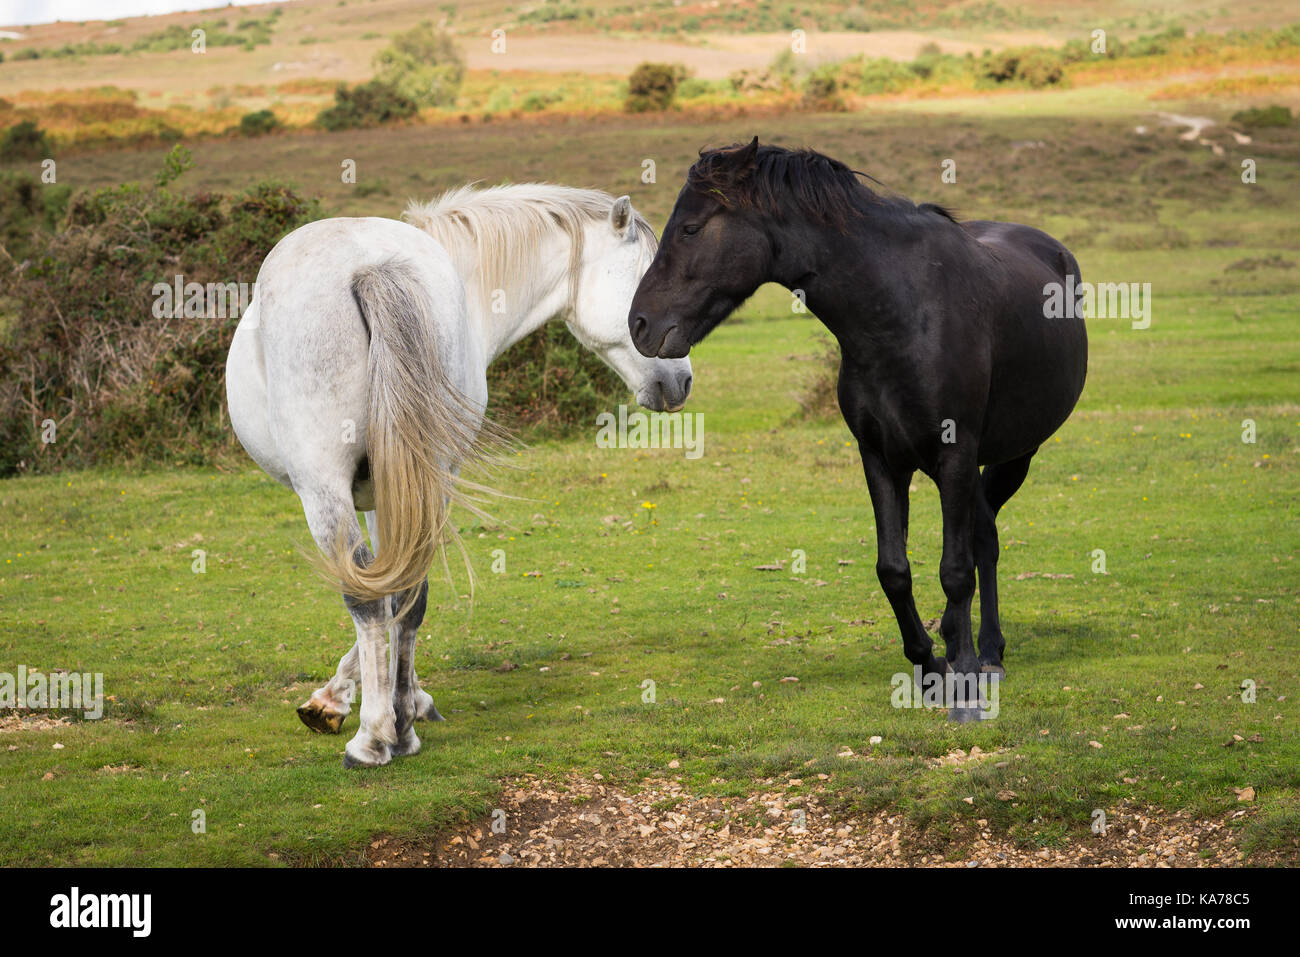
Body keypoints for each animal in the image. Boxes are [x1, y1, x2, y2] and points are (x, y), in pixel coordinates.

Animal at [226, 184, 693, 766]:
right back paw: (398, 730)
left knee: (367, 597)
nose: (681, 382)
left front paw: (340, 702)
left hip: (324, 488)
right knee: (404, 591)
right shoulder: (400, 487)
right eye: (646, 285)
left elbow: (381, 596)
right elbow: (399, 592)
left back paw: (373, 738)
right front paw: (400, 702)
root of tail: (372, 268)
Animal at [628, 138, 1087, 721]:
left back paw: (985, 654)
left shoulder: (956, 455)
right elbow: (894, 569)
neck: (903, 312)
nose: (639, 323)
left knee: (983, 545)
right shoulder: (880, 457)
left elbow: (955, 569)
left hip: (1013, 457)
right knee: (983, 535)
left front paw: (961, 682)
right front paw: (930, 668)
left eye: (690, 228)